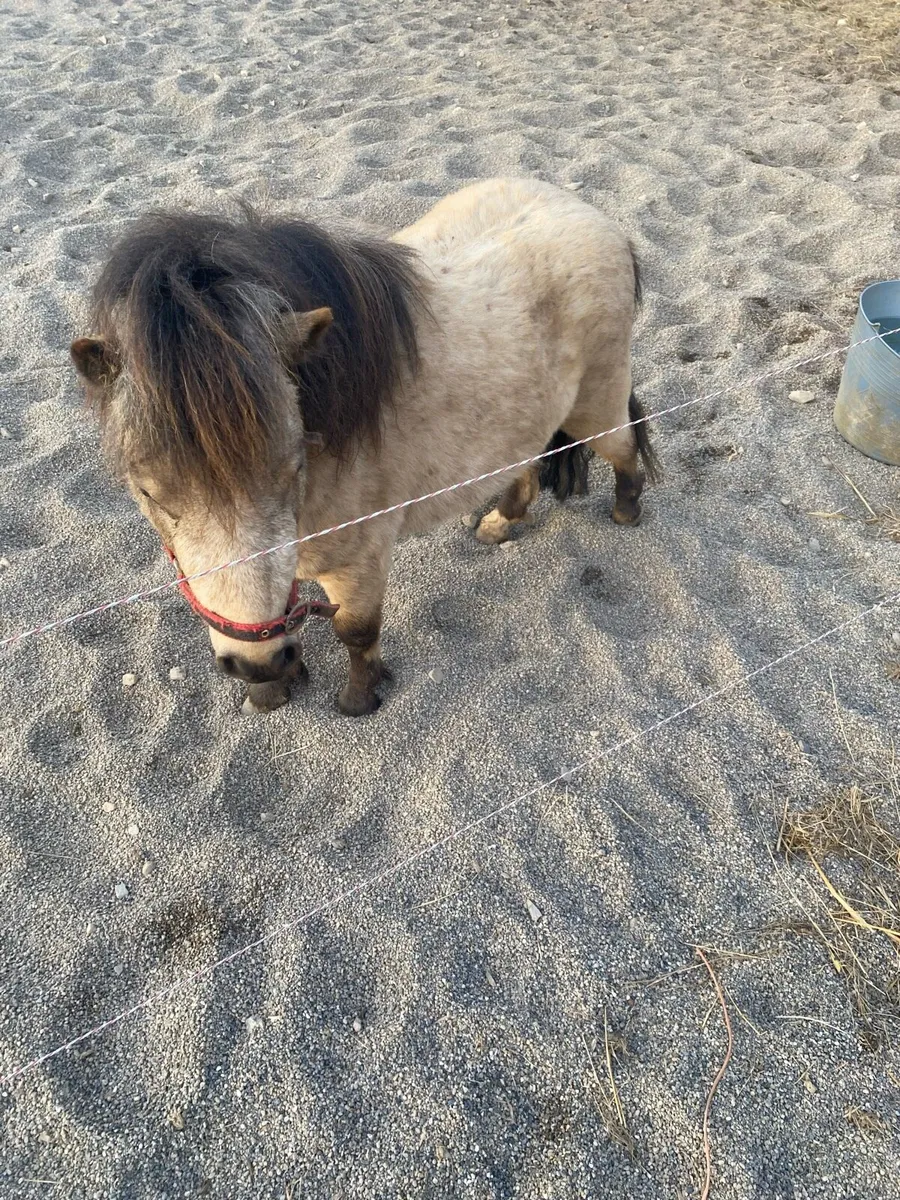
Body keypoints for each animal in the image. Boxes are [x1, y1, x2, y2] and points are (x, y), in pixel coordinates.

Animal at [70, 178, 659, 717]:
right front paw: (269, 692)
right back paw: (499, 523)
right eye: (147, 491)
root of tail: (599, 221)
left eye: (294, 466)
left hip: (595, 406)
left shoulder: (361, 558)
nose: (257, 664)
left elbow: (355, 631)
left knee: (624, 447)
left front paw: (358, 699)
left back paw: (626, 511)